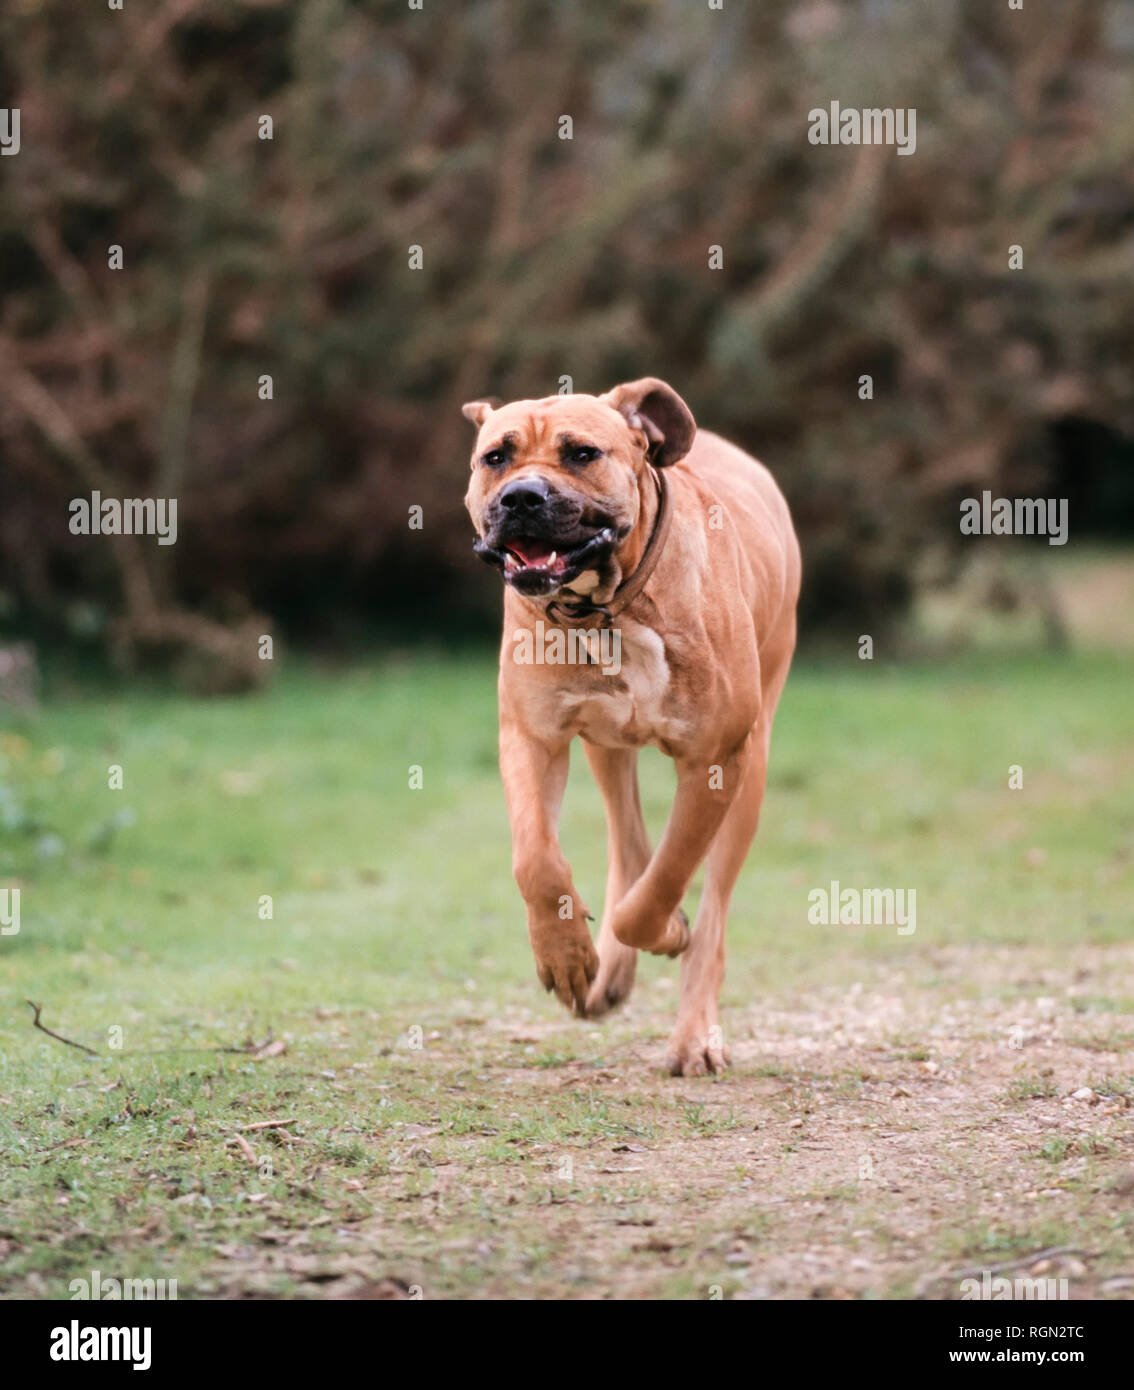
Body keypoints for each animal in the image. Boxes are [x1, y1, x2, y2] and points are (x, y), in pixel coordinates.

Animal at [461, 378, 794, 1073]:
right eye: (496, 458)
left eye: (583, 454)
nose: (521, 497)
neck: (611, 608)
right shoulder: (533, 737)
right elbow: (537, 861)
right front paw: (565, 955)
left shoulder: (715, 763)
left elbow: (664, 882)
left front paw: (665, 932)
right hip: (606, 748)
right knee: (628, 841)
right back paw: (610, 971)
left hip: (752, 771)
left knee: (709, 907)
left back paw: (694, 1031)